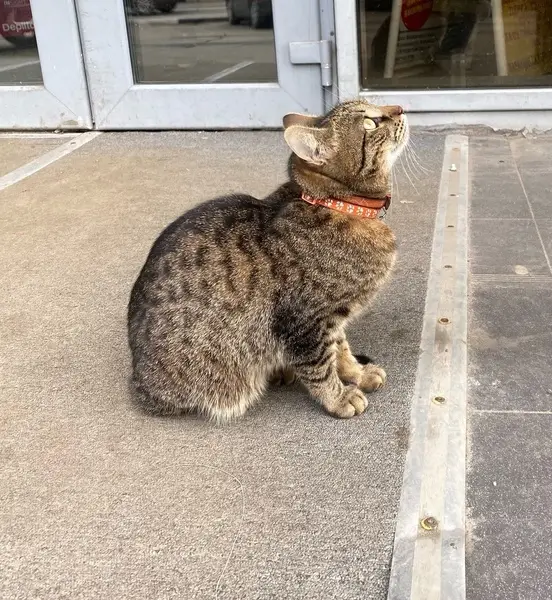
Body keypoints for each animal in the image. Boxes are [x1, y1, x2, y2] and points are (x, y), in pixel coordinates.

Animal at [127, 100, 408, 421]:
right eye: (370, 123)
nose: (400, 107)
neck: (339, 206)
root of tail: (138, 382)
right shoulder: (306, 321)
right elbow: (320, 367)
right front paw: (339, 397)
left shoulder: (333, 317)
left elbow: (341, 348)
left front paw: (357, 373)